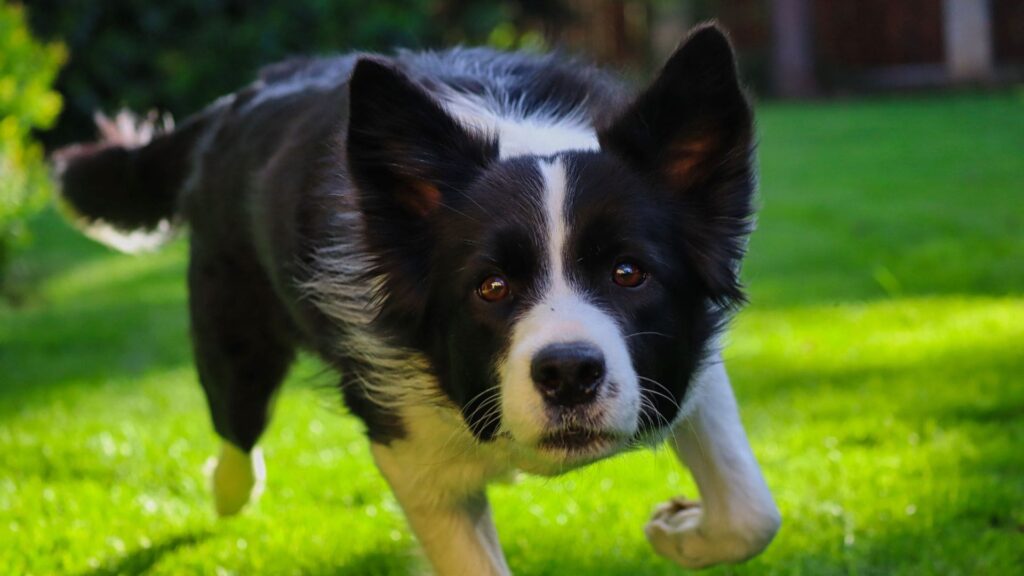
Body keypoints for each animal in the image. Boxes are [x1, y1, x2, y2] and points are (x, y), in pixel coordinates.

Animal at [54, 22, 774, 573]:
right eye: (491, 287)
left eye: (629, 273)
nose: (569, 374)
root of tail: (240, 98)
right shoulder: (408, 450)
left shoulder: (684, 360)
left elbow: (752, 513)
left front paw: (679, 532)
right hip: (233, 338)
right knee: (236, 431)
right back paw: (228, 489)